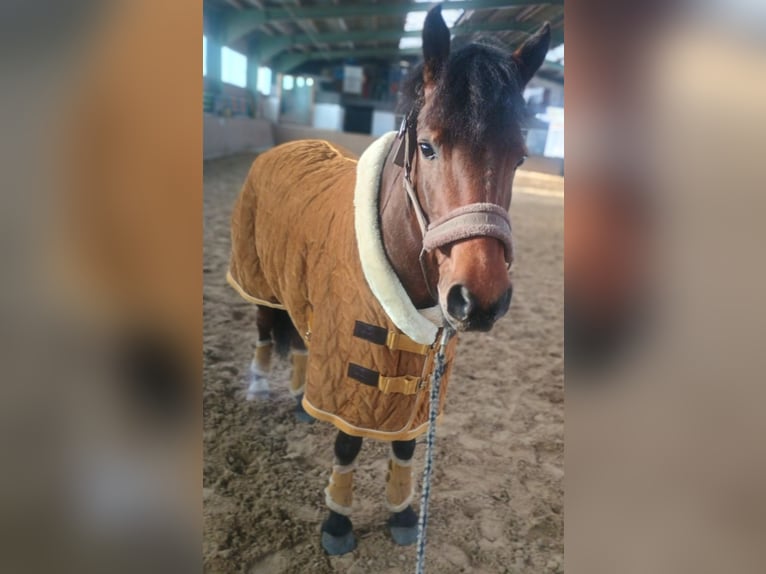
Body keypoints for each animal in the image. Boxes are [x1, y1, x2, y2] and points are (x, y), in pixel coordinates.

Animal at [227, 5, 550, 556]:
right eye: (426, 146)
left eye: (522, 157)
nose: (480, 299)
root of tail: (284, 147)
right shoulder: (353, 358)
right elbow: (348, 441)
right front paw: (337, 522)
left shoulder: (421, 369)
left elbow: (405, 443)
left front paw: (403, 513)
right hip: (259, 279)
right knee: (266, 331)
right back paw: (258, 389)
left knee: (299, 338)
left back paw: (300, 402)